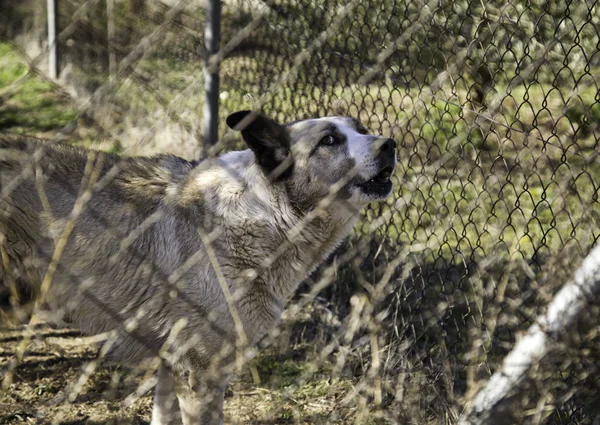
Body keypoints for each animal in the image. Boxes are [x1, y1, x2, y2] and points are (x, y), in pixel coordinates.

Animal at [0, 111, 398, 422]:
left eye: (361, 128)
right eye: (330, 140)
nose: (390, 144)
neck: (268, 209)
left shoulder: (172, 366)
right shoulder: (200, 373)